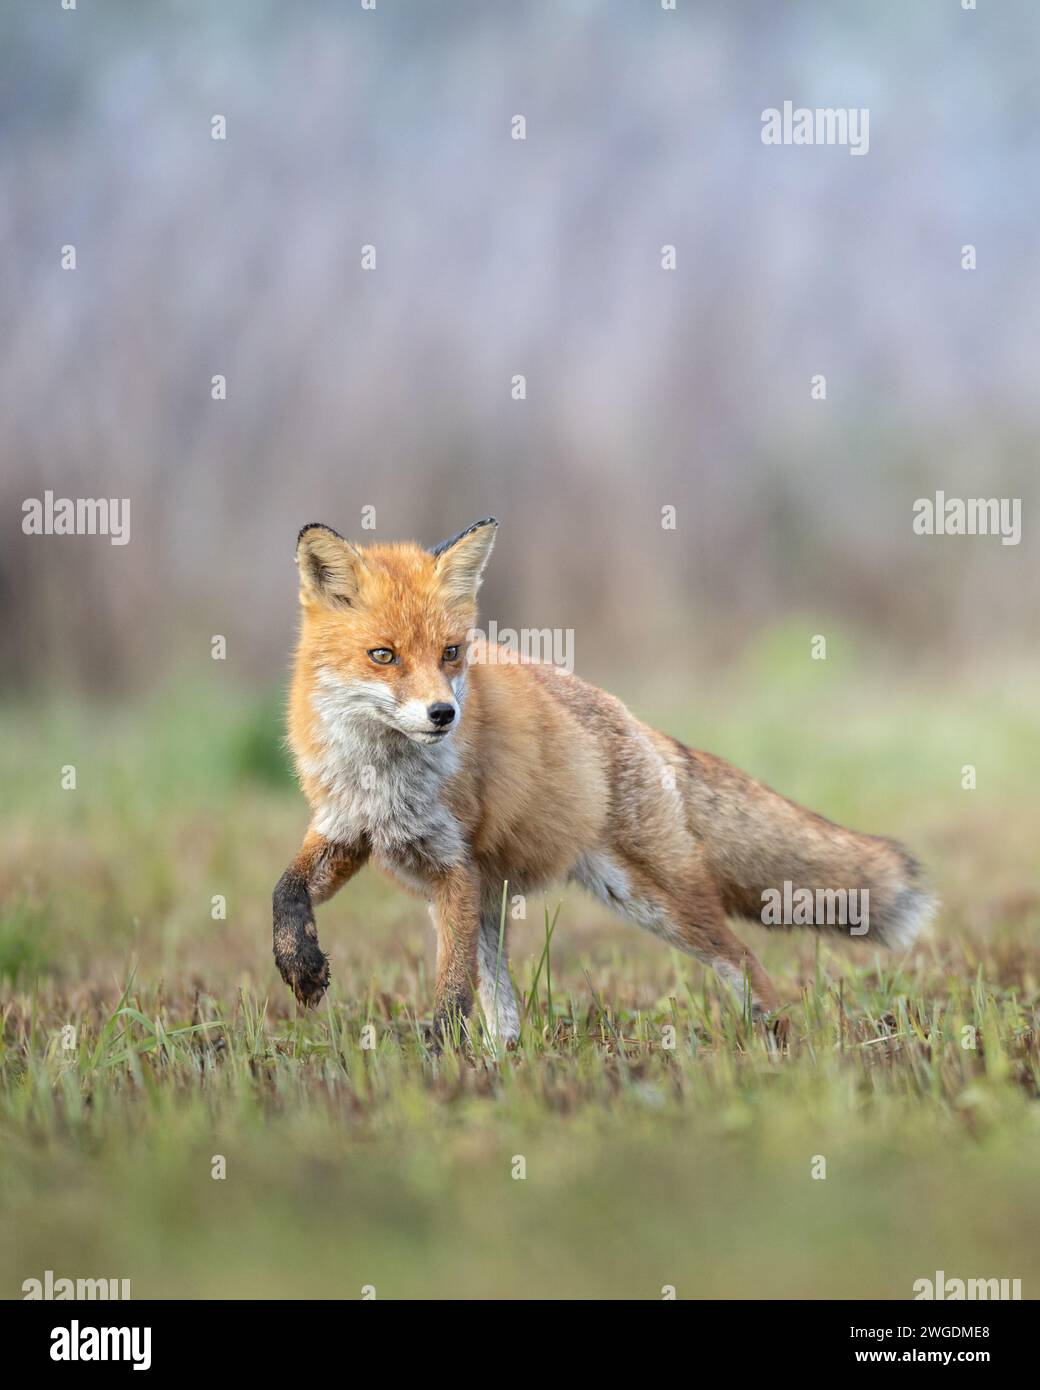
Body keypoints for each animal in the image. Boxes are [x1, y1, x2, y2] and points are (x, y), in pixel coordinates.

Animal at [272, 522, 928, 1045]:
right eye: (383, 656)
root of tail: (632, 719)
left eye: (451, 653)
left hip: (650, 897)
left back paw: (778, 1045)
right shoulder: (348, 833)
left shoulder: (449, 862)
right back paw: (503, 1062)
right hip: (493, 902)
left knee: (743, 958)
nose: (443, 715)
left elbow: (452, 993)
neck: (380, 773)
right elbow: (286, 893)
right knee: (506, 1009)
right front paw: (301, 967)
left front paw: (438, 1061)